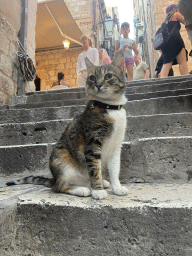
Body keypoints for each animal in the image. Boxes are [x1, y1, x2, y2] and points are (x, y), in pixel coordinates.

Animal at [6, 51, 128, 200]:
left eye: (108, 76)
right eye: (92, 77)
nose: (98, 85)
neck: (111, 107)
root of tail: (54, 178)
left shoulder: (116, 145)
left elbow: (115, 169)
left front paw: (117, 188)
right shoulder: (92, 143)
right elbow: (94, 169)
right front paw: (98, 191)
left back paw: (102, 183)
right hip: (63, 160)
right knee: (59, 187)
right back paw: (82, 189)